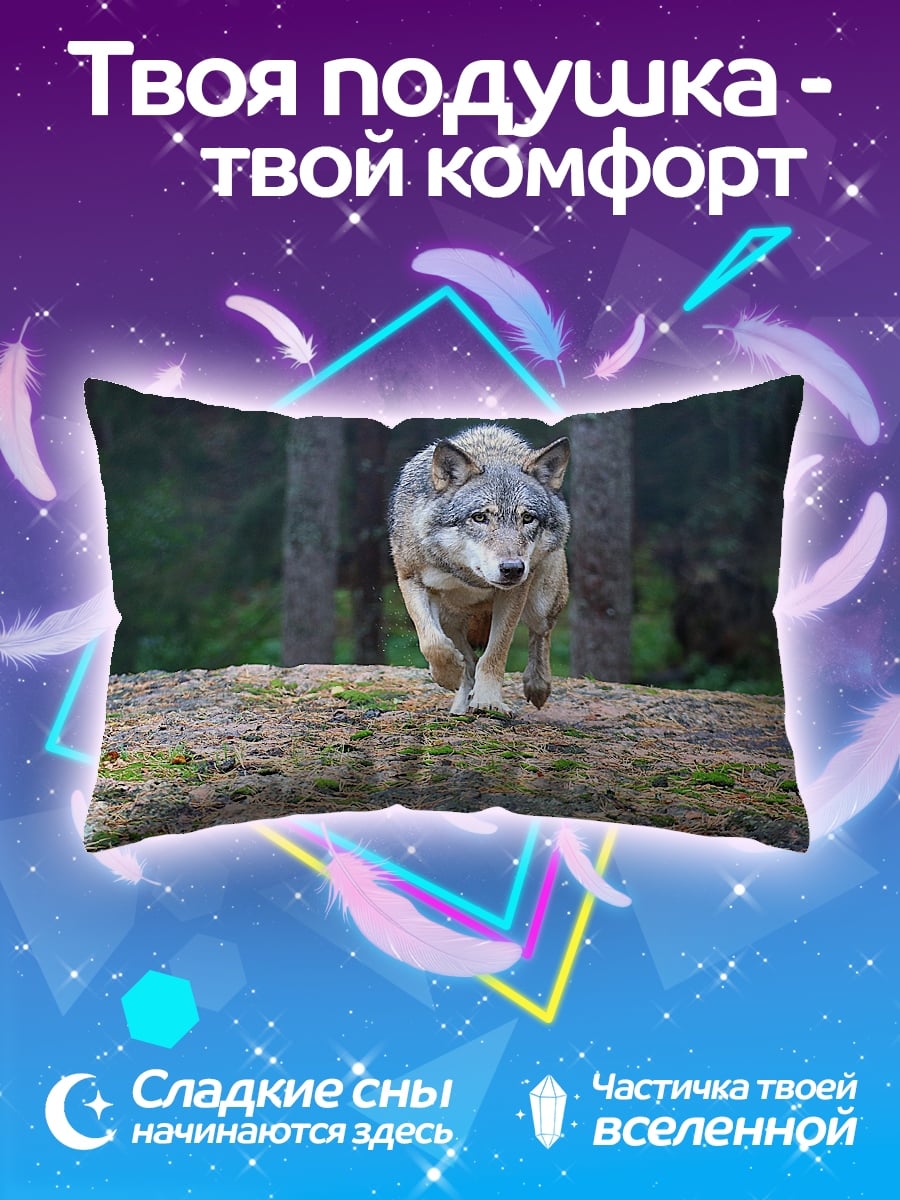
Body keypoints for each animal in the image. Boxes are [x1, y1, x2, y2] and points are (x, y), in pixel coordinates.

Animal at [389, 424, 570, 715]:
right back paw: (460, 706)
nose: (512, 569)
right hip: (451, 618)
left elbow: (495, 653)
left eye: (527, 518)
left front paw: (488, 701)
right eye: (480, 517)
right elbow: (432, 642)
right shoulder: (410, 580)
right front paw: (448, 675)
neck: (469, 577)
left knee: (541, 632)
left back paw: (537, 685)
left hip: (540, 602)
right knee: (468, 659)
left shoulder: (514, 594)